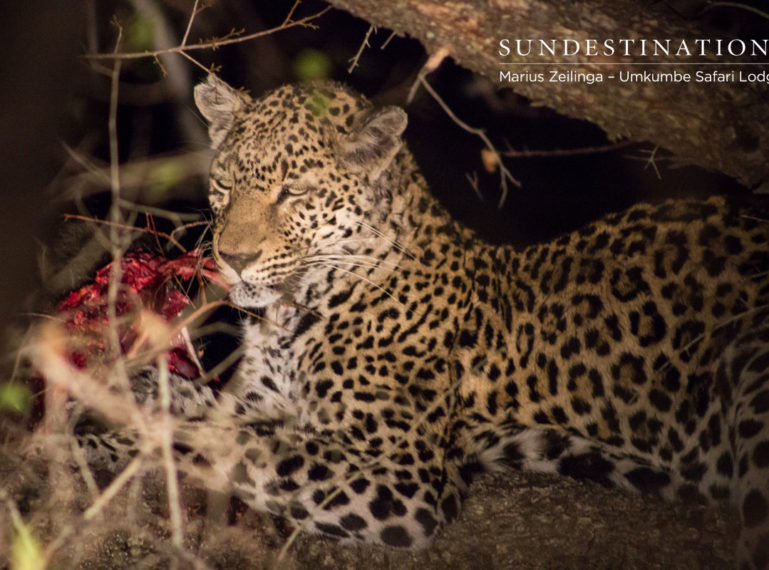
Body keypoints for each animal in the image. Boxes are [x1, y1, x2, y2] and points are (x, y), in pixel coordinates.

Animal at [88, 74, 768, 564]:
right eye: (226, 183)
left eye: (294, 192)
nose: (232, 257)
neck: (293, 312)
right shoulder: (258, 397)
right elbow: (201, 404)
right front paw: (115, 392)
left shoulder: (400, 475)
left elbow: (234, 439)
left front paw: (108, 432)